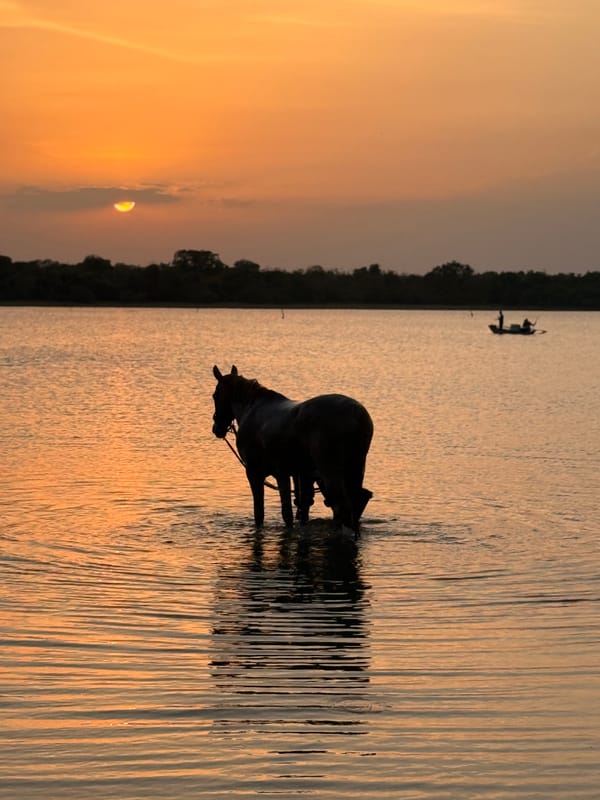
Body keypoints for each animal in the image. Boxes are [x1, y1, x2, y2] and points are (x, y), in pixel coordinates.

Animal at [212, 365, 373, 536]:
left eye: (215, 395)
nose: (217, 428)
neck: (252, 410)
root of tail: (357, 415)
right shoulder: (293, 474)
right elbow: (294, 511)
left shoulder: (256, 473)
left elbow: (262, 513)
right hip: (355, 470)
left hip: (331, 473)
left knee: (343, 508)